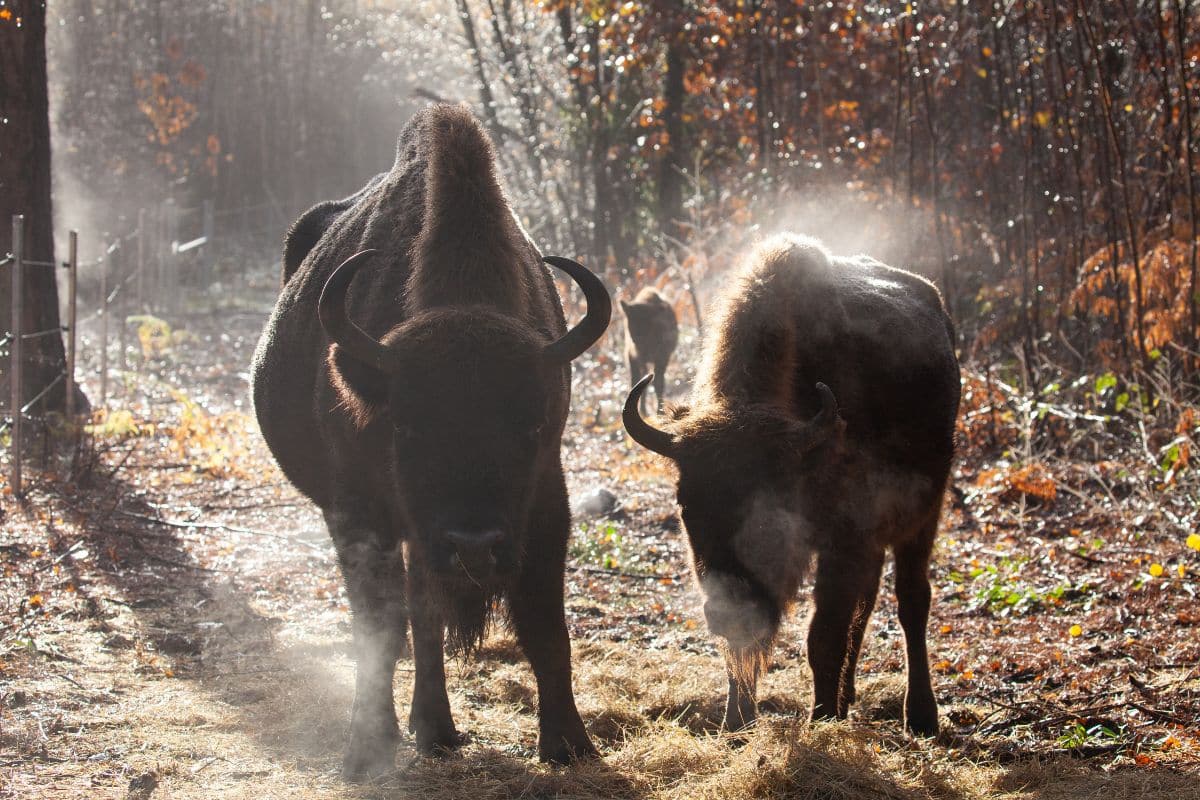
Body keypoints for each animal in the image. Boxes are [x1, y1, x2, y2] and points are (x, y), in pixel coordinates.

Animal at [251, 104, 608, 780]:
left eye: (530, 427)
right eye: (406, 426)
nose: (473, 544)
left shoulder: (545, 502)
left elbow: (545, 625)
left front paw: (570, 745)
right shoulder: (360, 516)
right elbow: (380, 629)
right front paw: (367, 747)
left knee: (429, 609)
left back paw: (436, 727)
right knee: (416, 613)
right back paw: (428, 728)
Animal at [621, 234, 959, 736]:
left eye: (766, 512)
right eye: (685, 506)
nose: (723, 610)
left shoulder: (846, 539)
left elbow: (823, 636)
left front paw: (821, 721)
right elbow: (744, 651)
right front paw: (737, 723)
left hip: (924, 512)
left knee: (911, 600)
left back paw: (919, 716)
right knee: (868, 603)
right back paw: (848, 697)